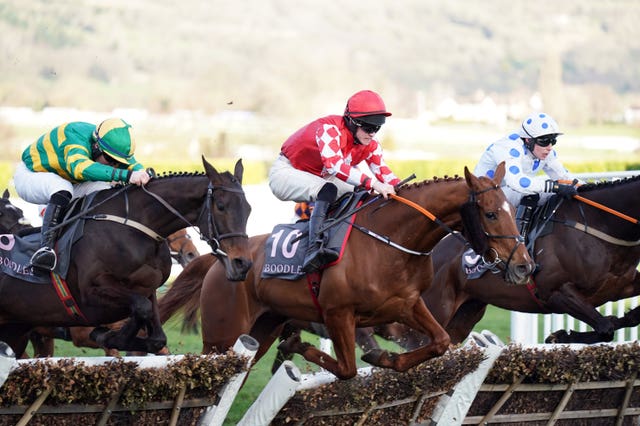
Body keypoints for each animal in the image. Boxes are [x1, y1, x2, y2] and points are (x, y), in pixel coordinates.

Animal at [0, 156, 252, 356]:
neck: (133, 227)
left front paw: (115, 336)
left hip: (17, 331)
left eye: (248, 209)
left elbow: (156, 335)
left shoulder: (148, 289)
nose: (242, 264)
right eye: (221, 206)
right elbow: (139, 309)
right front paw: (108, 335)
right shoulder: (90, 293)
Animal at [160, 163, 536, 380]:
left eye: (512, 208)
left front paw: (385, 357)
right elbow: (347, 369)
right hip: (222, 337)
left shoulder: (406, 306)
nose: (524, 265)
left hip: (260, 332)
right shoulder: (338, 315)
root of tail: (221, 259)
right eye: (490, 214)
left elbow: (440, 342)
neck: (389, 242)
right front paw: (301, 347)